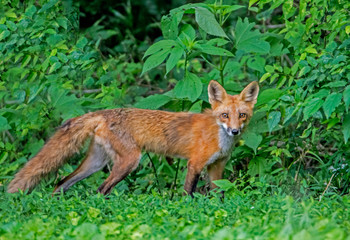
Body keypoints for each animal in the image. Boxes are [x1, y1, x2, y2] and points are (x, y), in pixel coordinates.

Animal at [7, 80, 260, 197]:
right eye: (225, 115)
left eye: (242, 115)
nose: (235, 132)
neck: (220, 137)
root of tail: (103, 112)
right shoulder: (195, 164)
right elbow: (188, 193)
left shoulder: (217, 167)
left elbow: (220, 195)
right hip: (129, 161)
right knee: (100, 189)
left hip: (95, 163)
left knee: (61, 183)